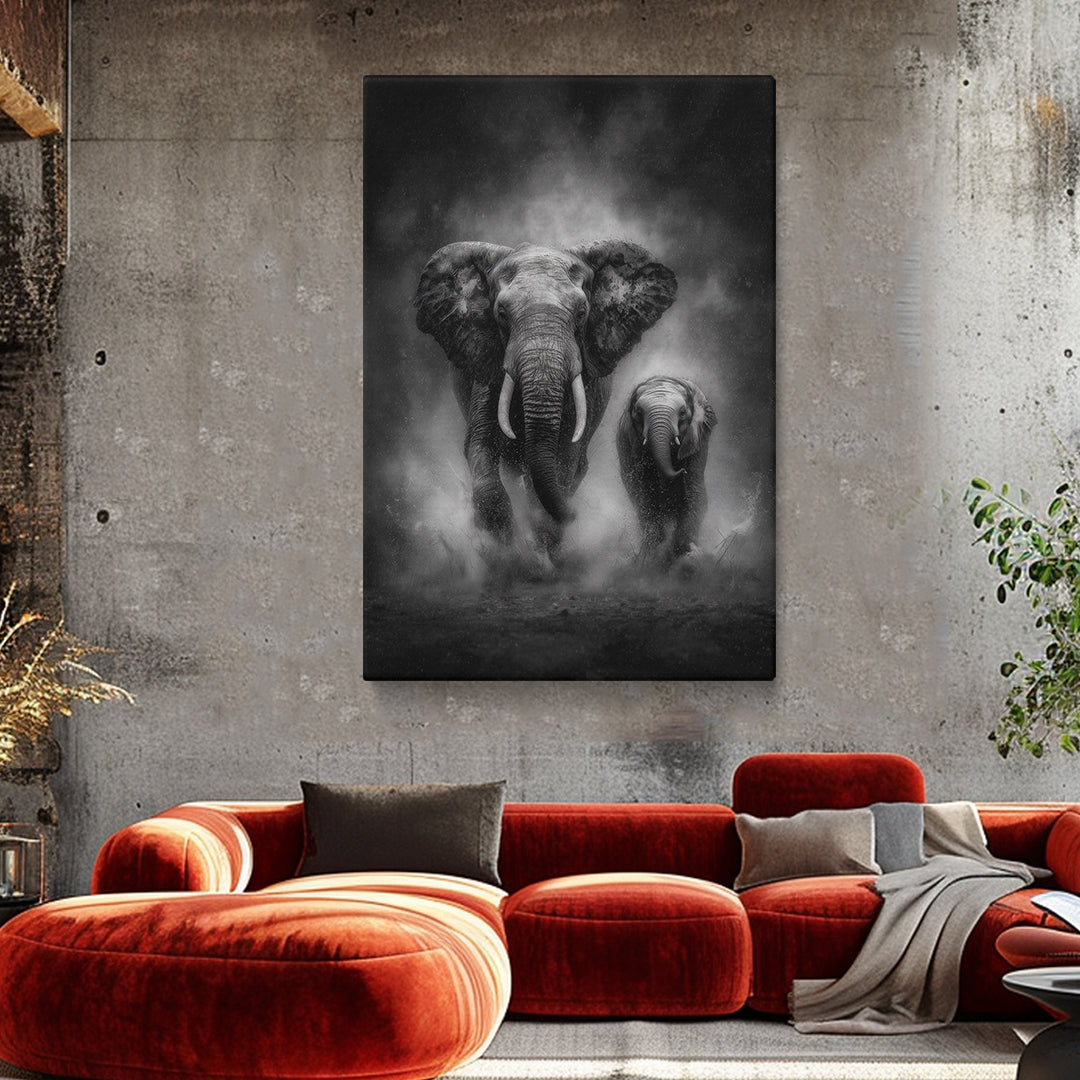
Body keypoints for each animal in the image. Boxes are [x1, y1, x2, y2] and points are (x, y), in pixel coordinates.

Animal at [414, 241, 677, 553]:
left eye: (581, 314)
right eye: (501, 314)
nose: (576, 515)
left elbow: (564, 457)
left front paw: (542, 545)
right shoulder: (488, 367)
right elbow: (480, 445)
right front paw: (504, 548)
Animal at [617, 375, 717, 564]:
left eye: (683, 412)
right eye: (638, 412)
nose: (681, 471)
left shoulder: (698, 443)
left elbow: (695, 493)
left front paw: (685, 554)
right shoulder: (631, 446)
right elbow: (645, 497)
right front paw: (651, 555)